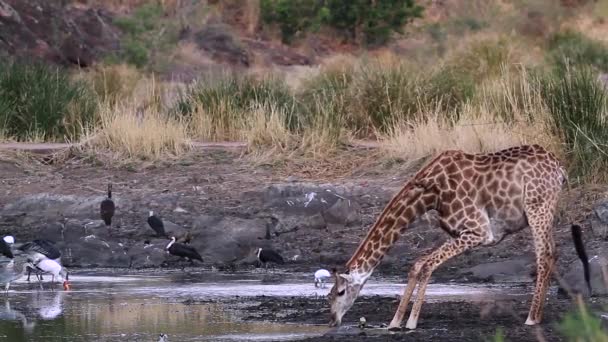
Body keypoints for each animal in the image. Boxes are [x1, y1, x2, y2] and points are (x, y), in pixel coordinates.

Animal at [328, 145, 568, 332]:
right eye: (329, 294)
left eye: (340, 292)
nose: (332, 321)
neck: (429, 196)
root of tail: (560, 169)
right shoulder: (458, 232)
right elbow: (418, 264)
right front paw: (395, 322)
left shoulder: (480, 232)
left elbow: (427, 266)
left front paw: (411, 322)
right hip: (544, 211)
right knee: (553, 253)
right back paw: (539, 315)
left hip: (537, 208)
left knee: (544, 256)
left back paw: (531, 318)